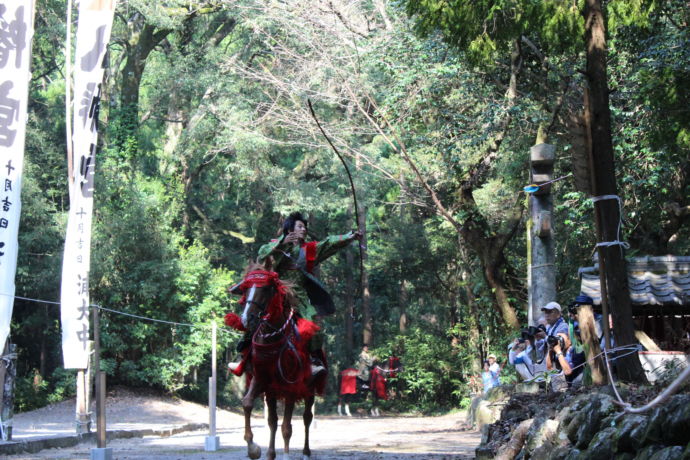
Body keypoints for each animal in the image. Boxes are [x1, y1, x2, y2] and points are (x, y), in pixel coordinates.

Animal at [226, 266, 322, 460]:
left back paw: (306, 452)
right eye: (246, 289)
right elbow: (249, 404)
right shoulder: (262, 381)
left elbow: (287, 427)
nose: (247, 318)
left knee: (307, 418)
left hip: (310, 389)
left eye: (265, 290)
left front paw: (285, 455)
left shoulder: (291, 387)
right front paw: (255, 449)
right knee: (274, 421)